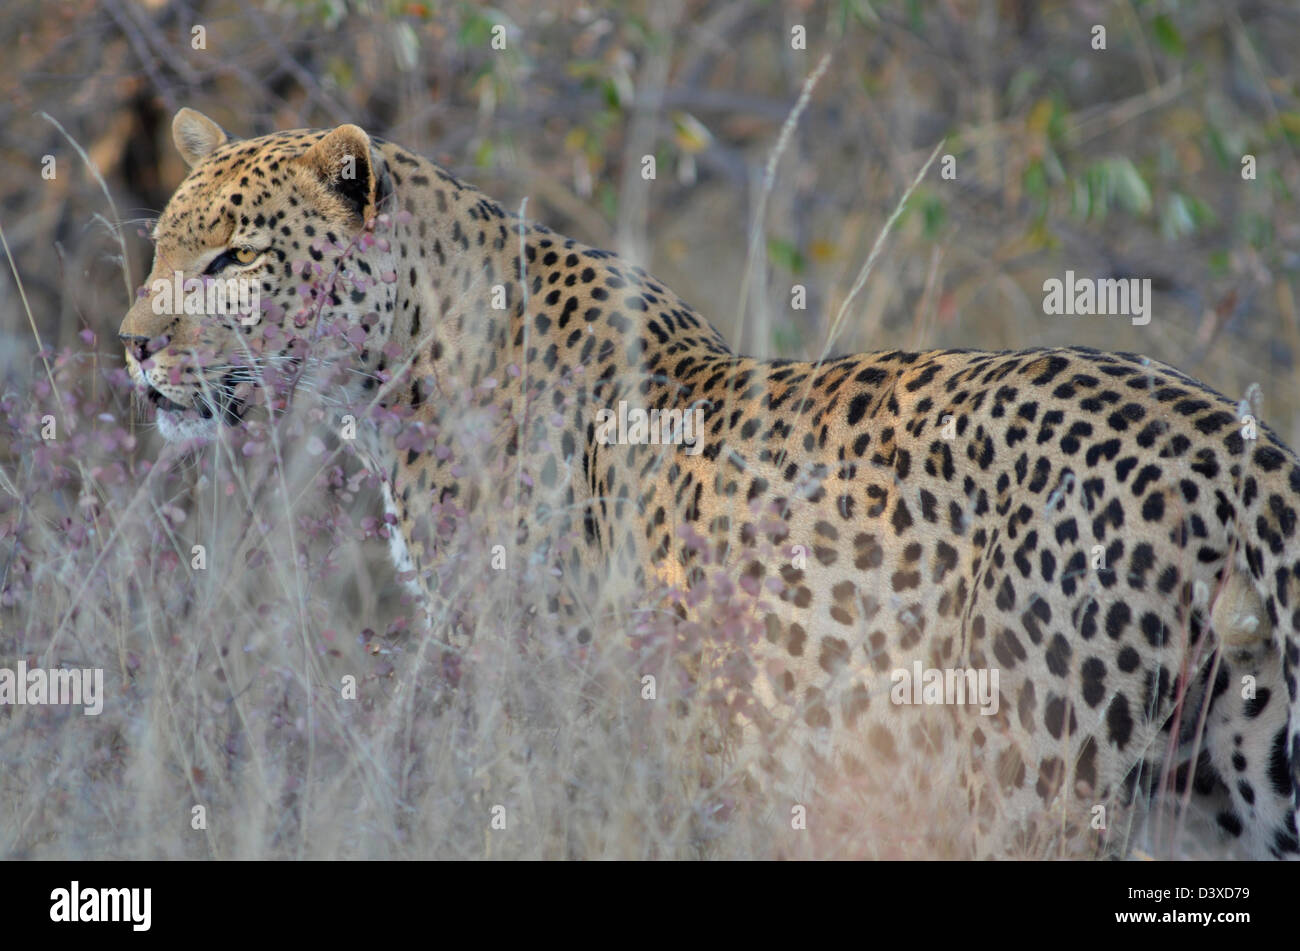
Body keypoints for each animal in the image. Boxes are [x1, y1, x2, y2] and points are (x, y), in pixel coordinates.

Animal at [119, 107, 1300, 858]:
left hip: (1032, 785)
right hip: (1218, 794)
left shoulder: (564, 708)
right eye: (163, 245)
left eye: (233, 259)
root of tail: (1238, 446)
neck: (405, 358)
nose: (132, 345)